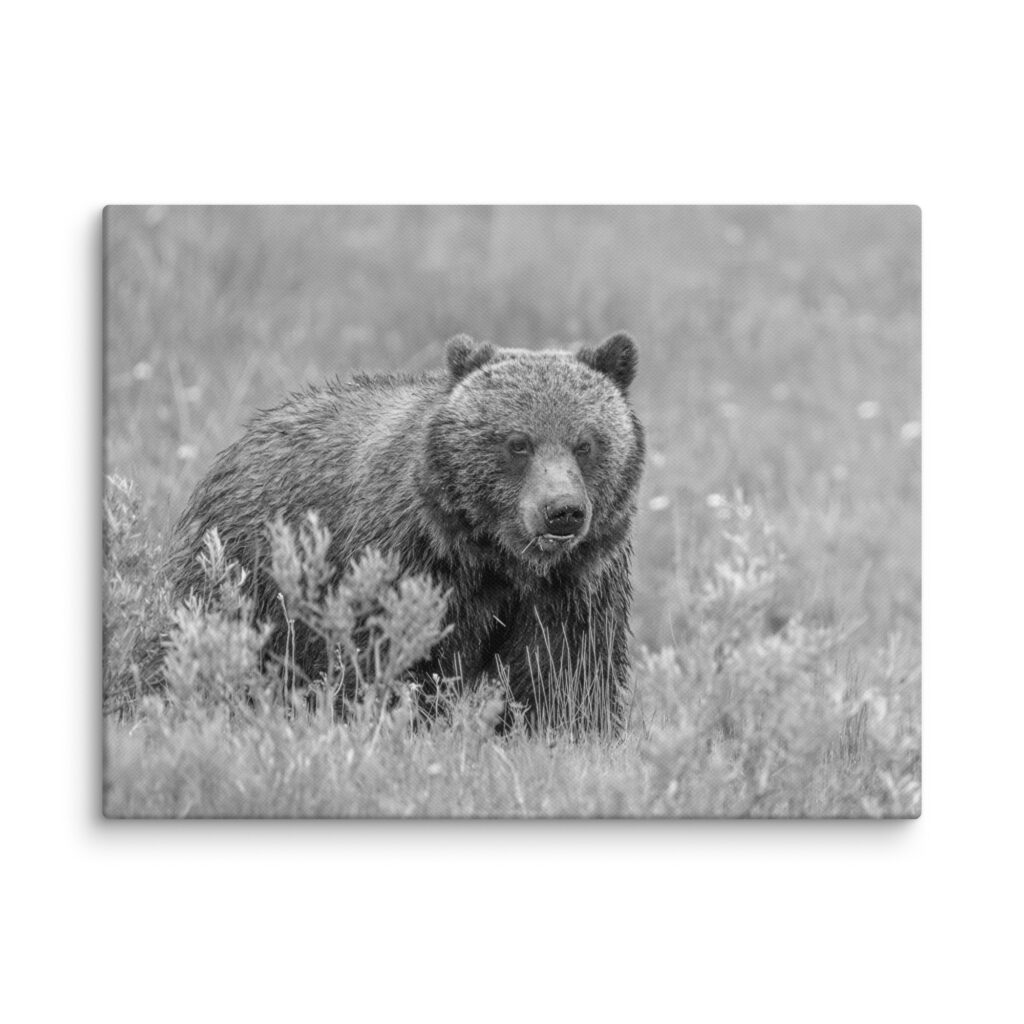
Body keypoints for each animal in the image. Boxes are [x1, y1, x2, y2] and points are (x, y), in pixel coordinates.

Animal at [167, 332, 645, 732]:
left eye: (585, 443)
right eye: (518, 443)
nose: (562, 511)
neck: (497, 557)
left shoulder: (575, 584)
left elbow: (567, 673)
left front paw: (569, 731)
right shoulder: (409, 561)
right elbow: (394, 657)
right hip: (246, 570)